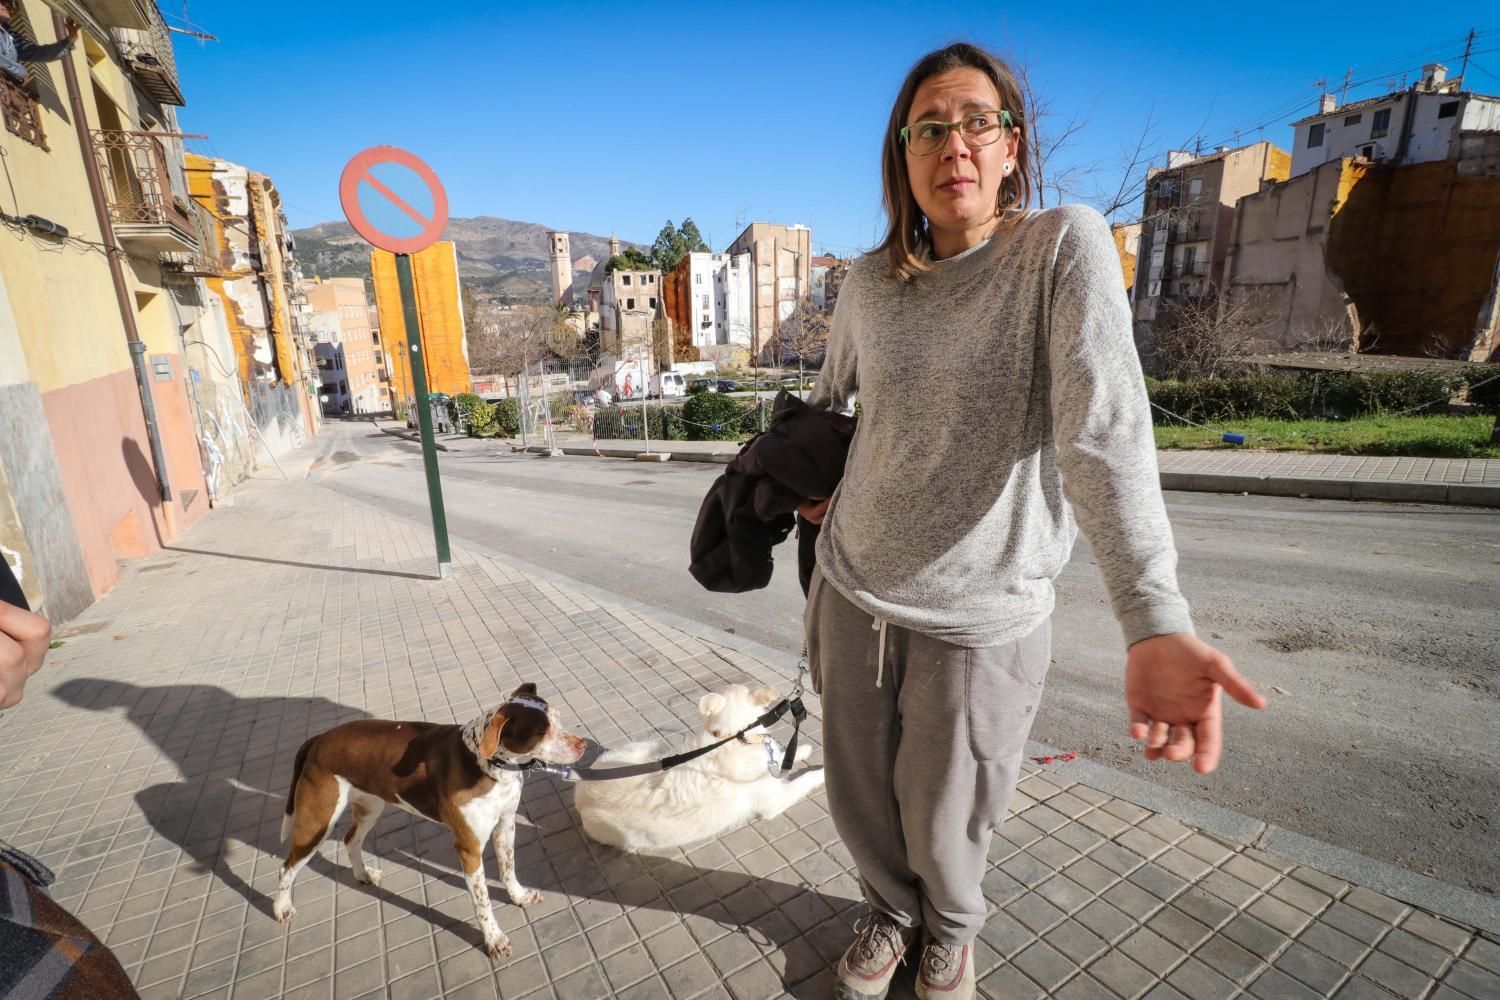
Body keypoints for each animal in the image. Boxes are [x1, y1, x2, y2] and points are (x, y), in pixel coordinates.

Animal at [274, 683, 585, 959]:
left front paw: (518, 896)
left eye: (558, 717)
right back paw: (281, 908)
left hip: (370, 806)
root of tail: (318, 738)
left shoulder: (505, 825)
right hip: (317, 823)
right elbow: (482, 901)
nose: (583, 745)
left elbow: (509, 869)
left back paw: (362, 874)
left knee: (351, 839)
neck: (490, 765)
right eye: (541, 732)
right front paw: (493, 939)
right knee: (287, 866)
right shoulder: (468, 848)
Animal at [579, 689, 828, 851]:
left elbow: (784, 755)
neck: (735, 737)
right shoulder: (774, 800)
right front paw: (823, 772)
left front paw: (801, 750)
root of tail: (580, 795)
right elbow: (806, 777)